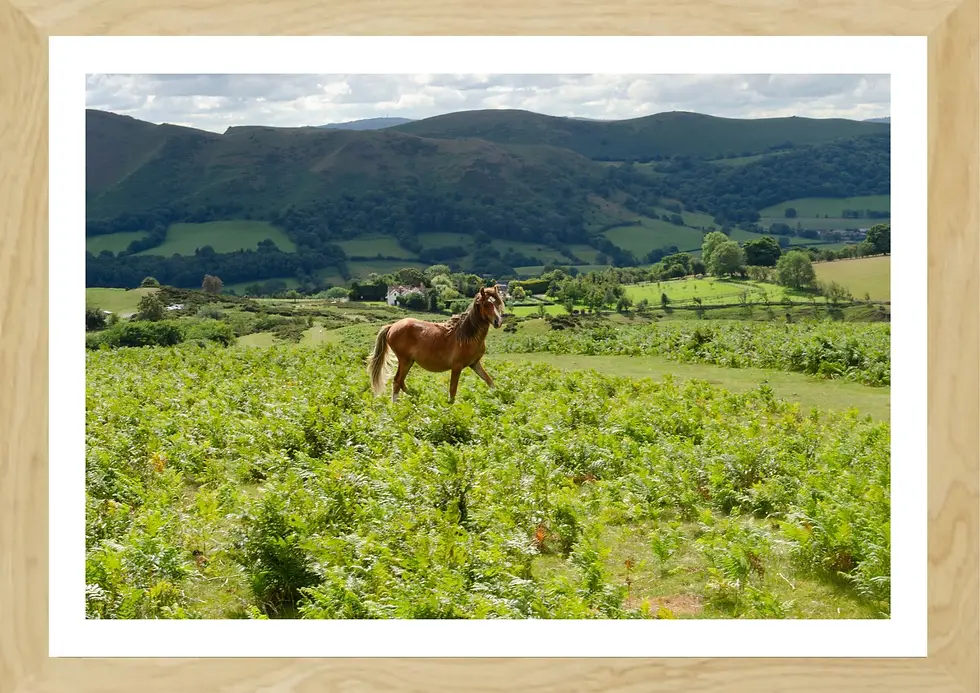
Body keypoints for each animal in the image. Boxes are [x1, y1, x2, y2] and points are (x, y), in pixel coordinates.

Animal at [366, 285, 506, 403]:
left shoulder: (475, 364)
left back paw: (414, 396)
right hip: (404, 360)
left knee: (400, 382)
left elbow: (490, 382)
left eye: (497, 303)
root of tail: (391, 327)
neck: (467, 336)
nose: (498, 321)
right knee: (397, 381)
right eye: (485, 304)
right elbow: (452, 391)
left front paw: (499, 397)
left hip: (409, 361)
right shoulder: (457, 367)